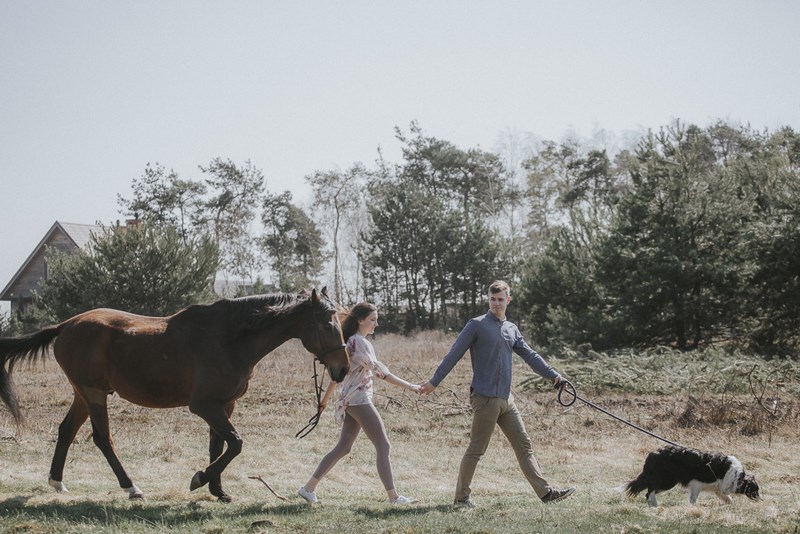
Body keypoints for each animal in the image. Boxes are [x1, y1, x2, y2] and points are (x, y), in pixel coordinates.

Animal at [0, 288, 350, 502]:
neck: (229, 339)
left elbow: (219, 446)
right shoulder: (204, 406)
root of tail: (64, 326)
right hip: (94, 394)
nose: (343, 368)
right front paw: (200, 479)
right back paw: (131, 488)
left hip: (83, 395)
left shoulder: (225, 405)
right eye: (327, 324)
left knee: (66, 431)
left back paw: (57, 482)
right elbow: (236, 444)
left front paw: (218, 491)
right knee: (103, 440)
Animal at [620, 446, 764, 508]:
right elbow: (693, 499)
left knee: (649, 491)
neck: (736, 475)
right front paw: (693, 508)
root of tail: (653, 453)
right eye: (755, 490)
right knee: (650, 491)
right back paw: (654, 504)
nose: (761, 500)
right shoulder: (696, 484)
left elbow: (728, 499)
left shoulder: (718, 488)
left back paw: (652, 505)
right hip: (667, 481)